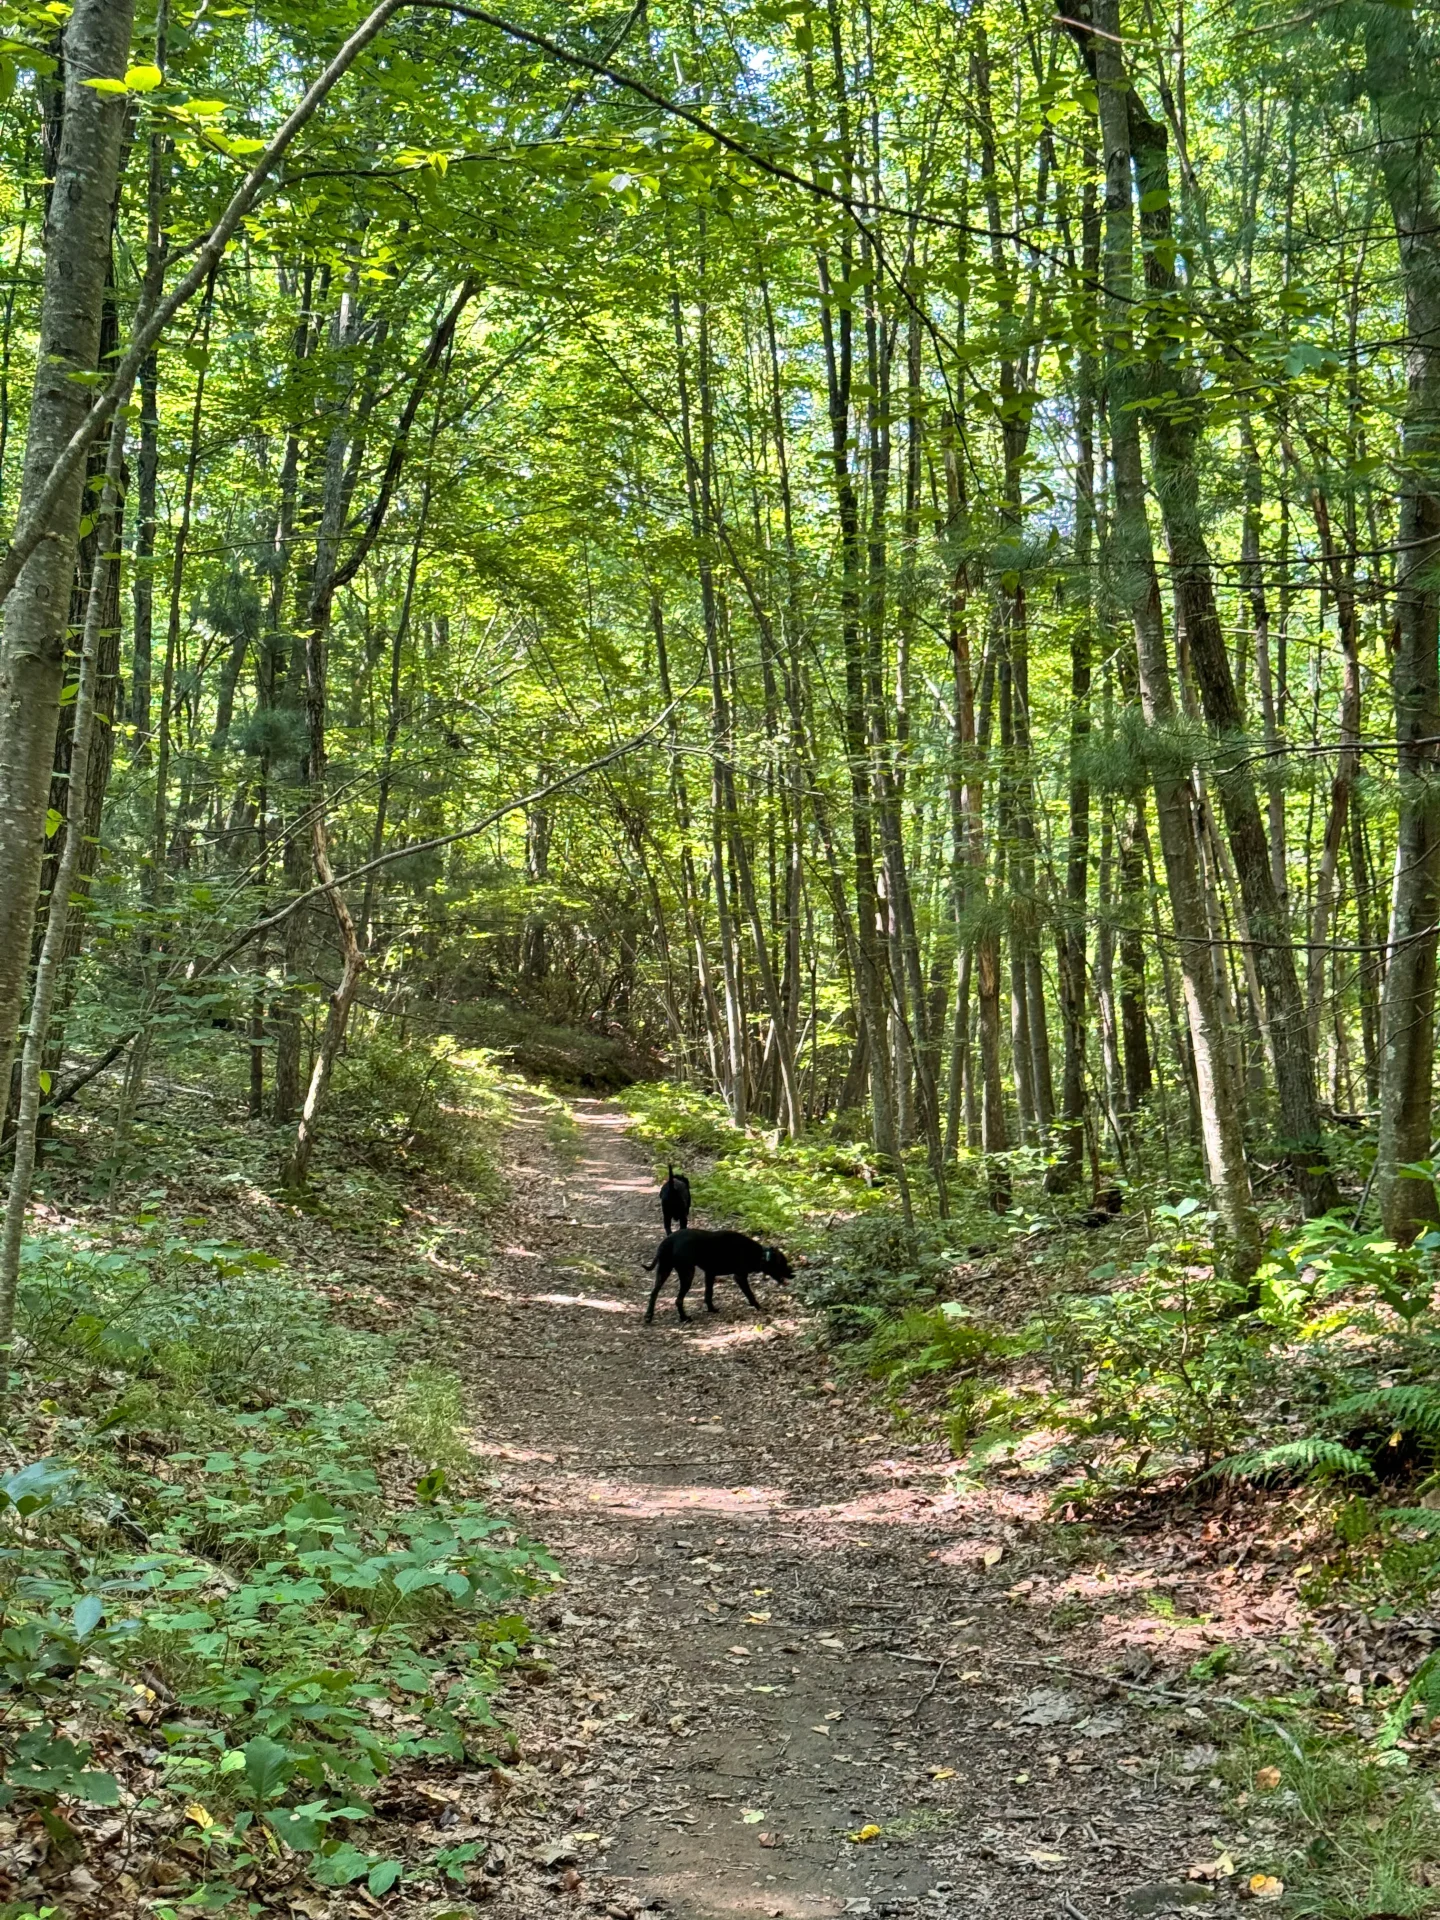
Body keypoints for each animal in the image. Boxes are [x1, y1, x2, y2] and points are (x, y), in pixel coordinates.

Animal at [645, 1228, 794, 1320]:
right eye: (783, 1263)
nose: (793, 1274)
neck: (759, 1255)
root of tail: (669, 1240)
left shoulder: (710, 1274)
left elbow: (708, 1294)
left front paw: (711, 1309)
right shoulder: (740, 1276)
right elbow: (750, 1295)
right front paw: (759, 1307)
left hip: (664, 1270)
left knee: (654, 1293)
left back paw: (648, 1315)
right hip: (687, 1274)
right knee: (678, 1300)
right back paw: (684, 1318)